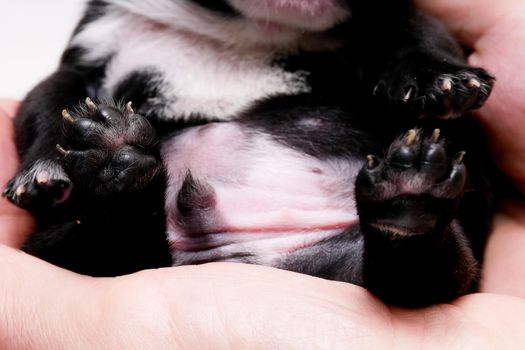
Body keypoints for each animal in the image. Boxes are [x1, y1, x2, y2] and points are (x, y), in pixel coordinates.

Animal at [5, 0, 496, 306]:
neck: (251, 28)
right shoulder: (92, 47)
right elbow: (50, 104)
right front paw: (43, 171)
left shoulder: (395, 18)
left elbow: (418, 31)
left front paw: (441, 76)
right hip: (68, 247)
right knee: (116, 251)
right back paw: (115, 162)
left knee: (421, 278)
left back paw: (409, 197)